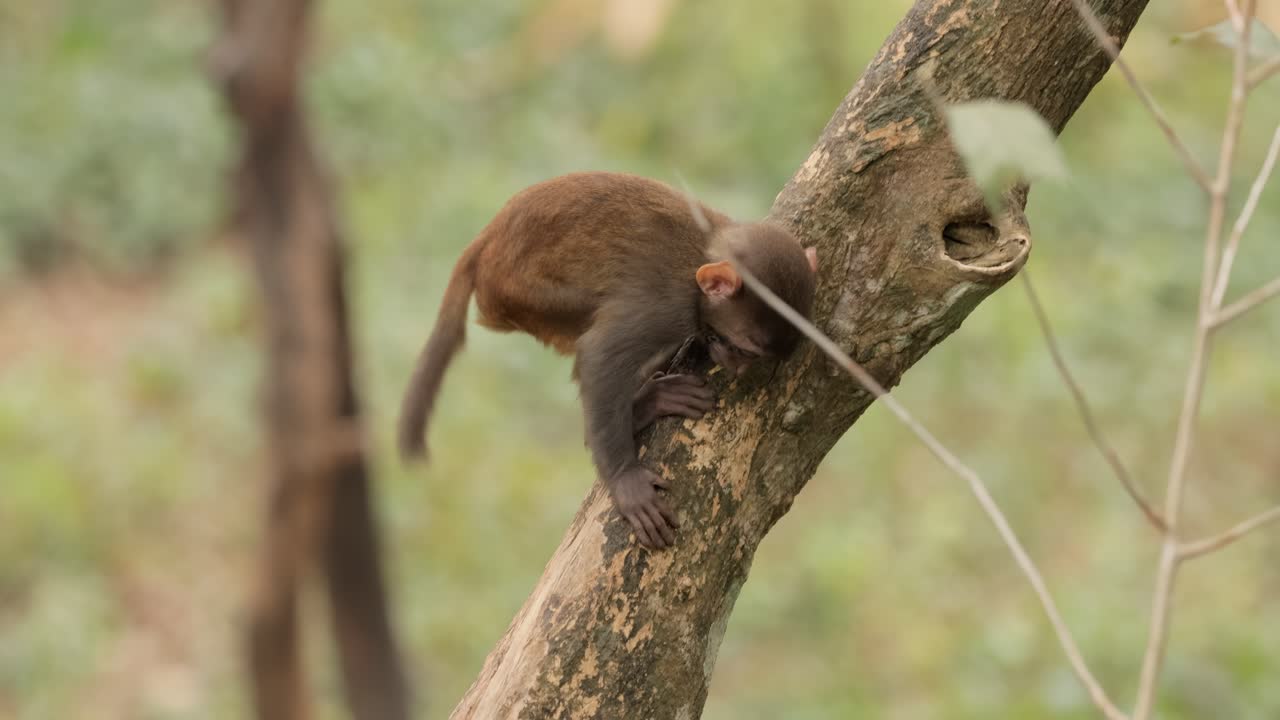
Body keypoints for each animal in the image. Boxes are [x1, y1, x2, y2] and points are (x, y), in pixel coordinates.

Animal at [398, 172, 817, 549]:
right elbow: (601, 353)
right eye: (745, 349)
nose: (742, 368)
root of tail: (488, 237)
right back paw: (645, 406)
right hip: (523, 297)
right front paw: (624, 478)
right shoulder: (668, 307)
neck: (705, 252)